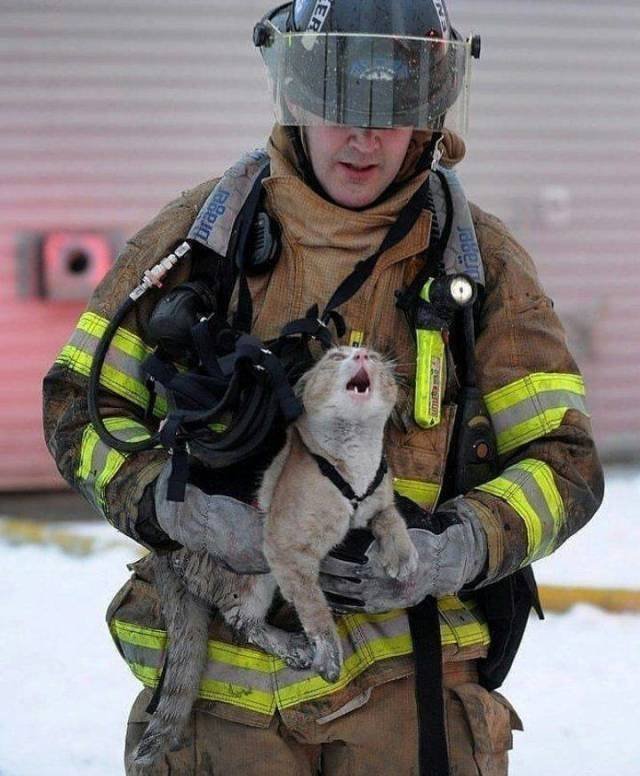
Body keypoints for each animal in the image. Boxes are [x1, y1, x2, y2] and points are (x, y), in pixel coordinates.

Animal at [131, 348, 420, 768]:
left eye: (375, 356)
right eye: (336, 355)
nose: (361, 352)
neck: (354, 465)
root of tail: (162, 552)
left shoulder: (379, 502)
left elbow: (392, 518)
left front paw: (405, 556)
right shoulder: (288, 549)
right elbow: (314, 607)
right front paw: (327, 654)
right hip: (251, 572)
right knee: (242, 620)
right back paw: (294, 647)